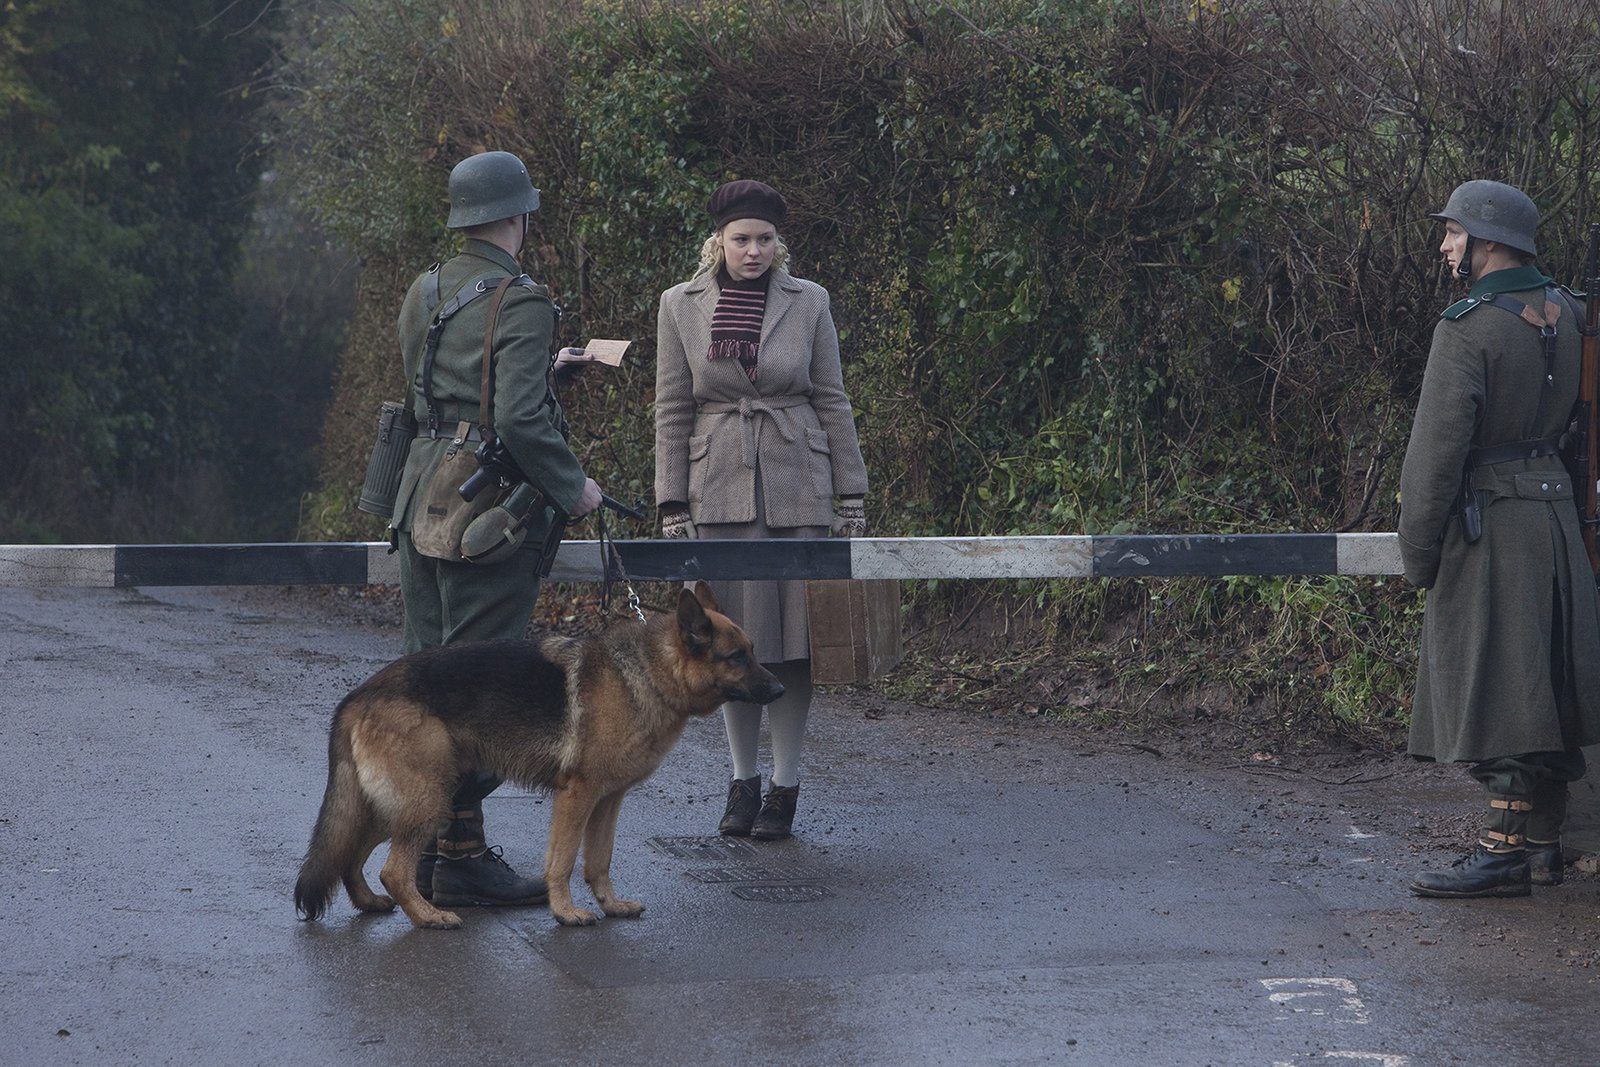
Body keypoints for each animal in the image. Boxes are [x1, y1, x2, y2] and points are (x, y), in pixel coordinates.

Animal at [297, 585, 784, 927]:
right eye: (736, 657)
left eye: (754, 652)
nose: (780, 689)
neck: (647, 673)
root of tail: (359, 695)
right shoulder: (577, 797)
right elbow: (563, 861)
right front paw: (566, 913)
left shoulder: (607, 801)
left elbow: (598, 861)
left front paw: (610, 905)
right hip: (427, 799)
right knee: (393, 870)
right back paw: (429, 917)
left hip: (394, 804)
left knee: (350, 855)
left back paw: (370, 903)